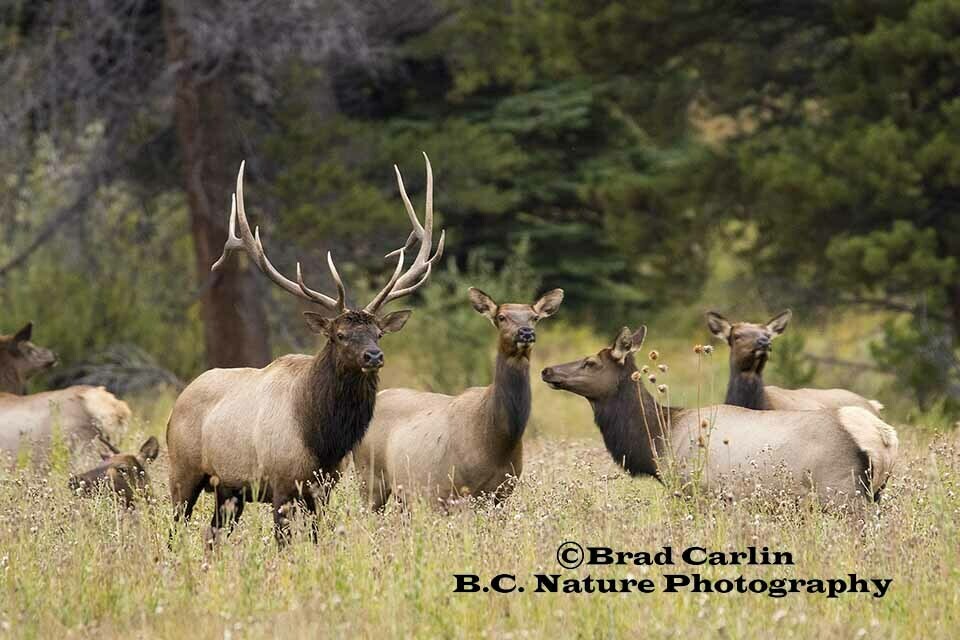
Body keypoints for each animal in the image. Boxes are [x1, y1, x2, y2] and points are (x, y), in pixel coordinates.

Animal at [166, 154, 444, 544]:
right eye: (339, 335)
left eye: (378, 333)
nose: (373, 356)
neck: (321, 438)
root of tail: (178, 400)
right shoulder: (281, 482)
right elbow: (283, 542)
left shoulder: (324, 486)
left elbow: (315, 539)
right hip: (182, 471)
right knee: (174, 528)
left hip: (229, 490)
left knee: (213, 533)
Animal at [353, 286, 564, 510]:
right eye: (501, 317)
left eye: (534, 317)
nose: (526, 332)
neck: (497, 441)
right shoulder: (456, 490)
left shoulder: (503, 492)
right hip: (369, 476)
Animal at [540, 325, 899, 505]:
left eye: (590, 362)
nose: (547, 370)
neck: (657, 438)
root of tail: (884, 436)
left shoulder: (693, 491)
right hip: (875, 494)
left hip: (843, 495)